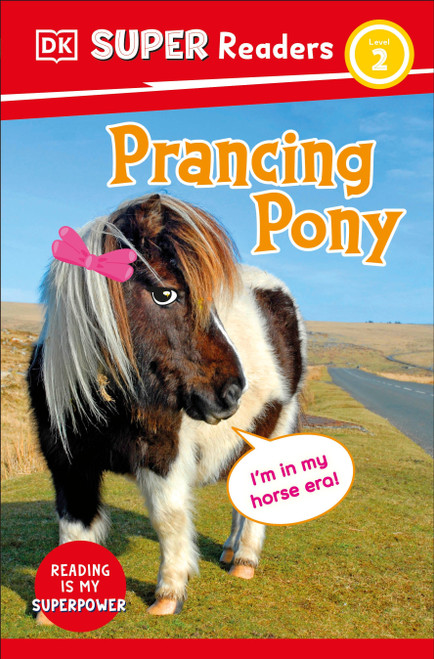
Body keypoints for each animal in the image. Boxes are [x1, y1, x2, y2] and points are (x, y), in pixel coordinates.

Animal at [27, 193, 306, 616]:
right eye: (165, 293)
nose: (231, 391)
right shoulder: (67, 464)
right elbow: (72, 529)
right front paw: (54, 612)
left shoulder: (164, 454)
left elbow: (169, 519)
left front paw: (169, 593)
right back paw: (229, 551)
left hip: (275, 427)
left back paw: (244, 559)